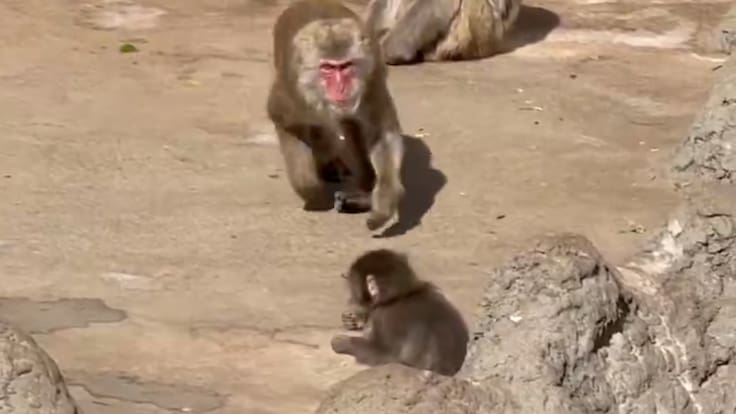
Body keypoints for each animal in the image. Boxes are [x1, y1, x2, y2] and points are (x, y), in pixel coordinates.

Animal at [266, 0, 405, 230]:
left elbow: (381, 134)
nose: (341, 89)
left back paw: (362, 194)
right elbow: (285, 123)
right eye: (328, 68)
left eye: (346, 66)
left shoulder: (372, 79)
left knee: (350, 127)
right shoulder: (292, 93)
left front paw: (383, 203)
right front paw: (312, 191)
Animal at [331, 249, 469, 376]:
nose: (350, 299)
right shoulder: (434, 288)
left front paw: (343, 342)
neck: (401, 295)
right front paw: (354, 319)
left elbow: (386, 356)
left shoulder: (384, 317)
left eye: (352, 289)